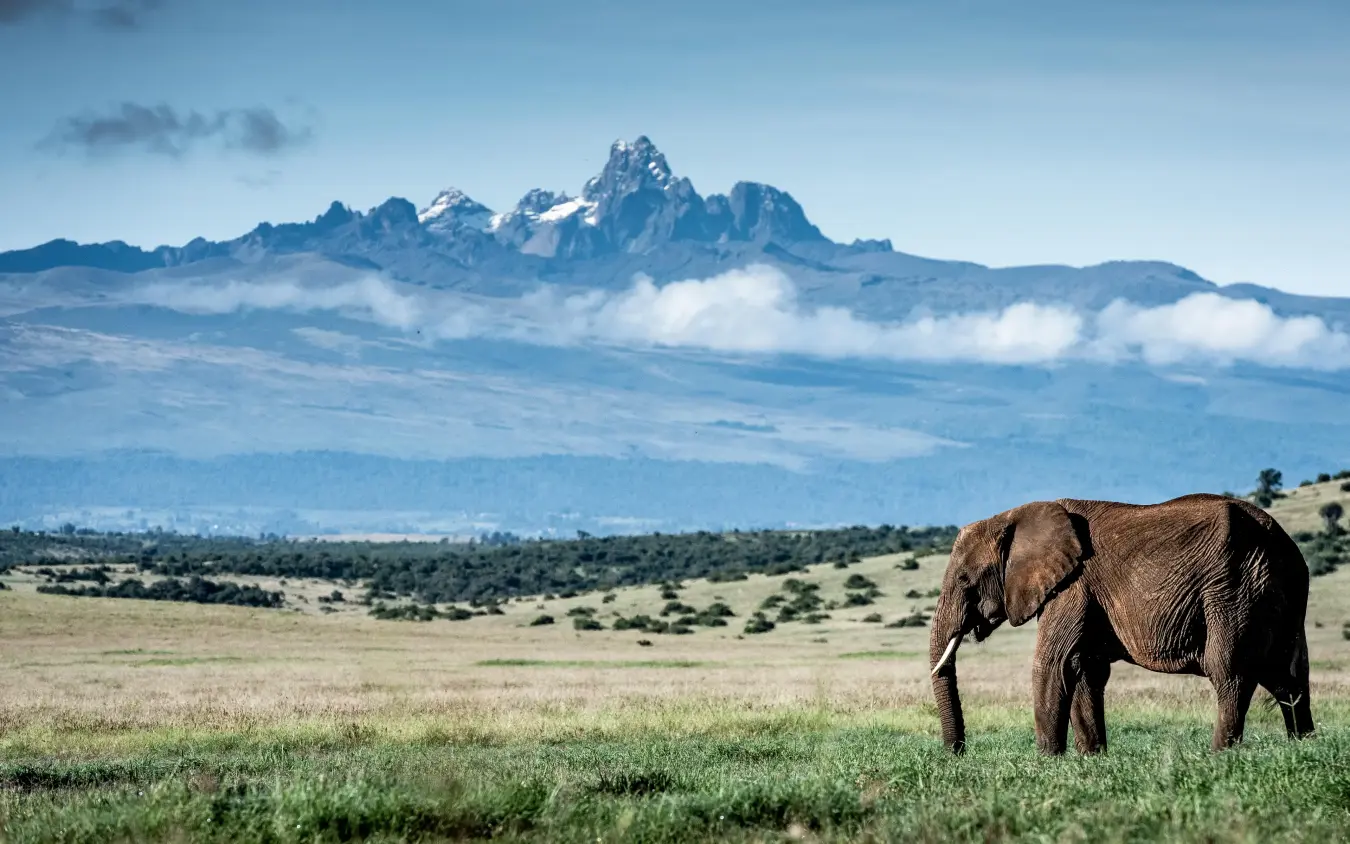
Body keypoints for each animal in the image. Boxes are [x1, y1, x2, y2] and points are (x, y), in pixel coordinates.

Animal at [928, 493, 1314, 755]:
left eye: (964, 580)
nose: (957, 754)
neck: (1016, 516)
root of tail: (1280, 540)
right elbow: (1084, 668)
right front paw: (1092, 759)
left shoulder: (1073, 585)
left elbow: (1054, 664)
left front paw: (1047, 762)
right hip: (1274, 590)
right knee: (1288, 677)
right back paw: (1303, 748)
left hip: (1233, 589)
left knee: (1230, 673)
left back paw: (1219, 756)